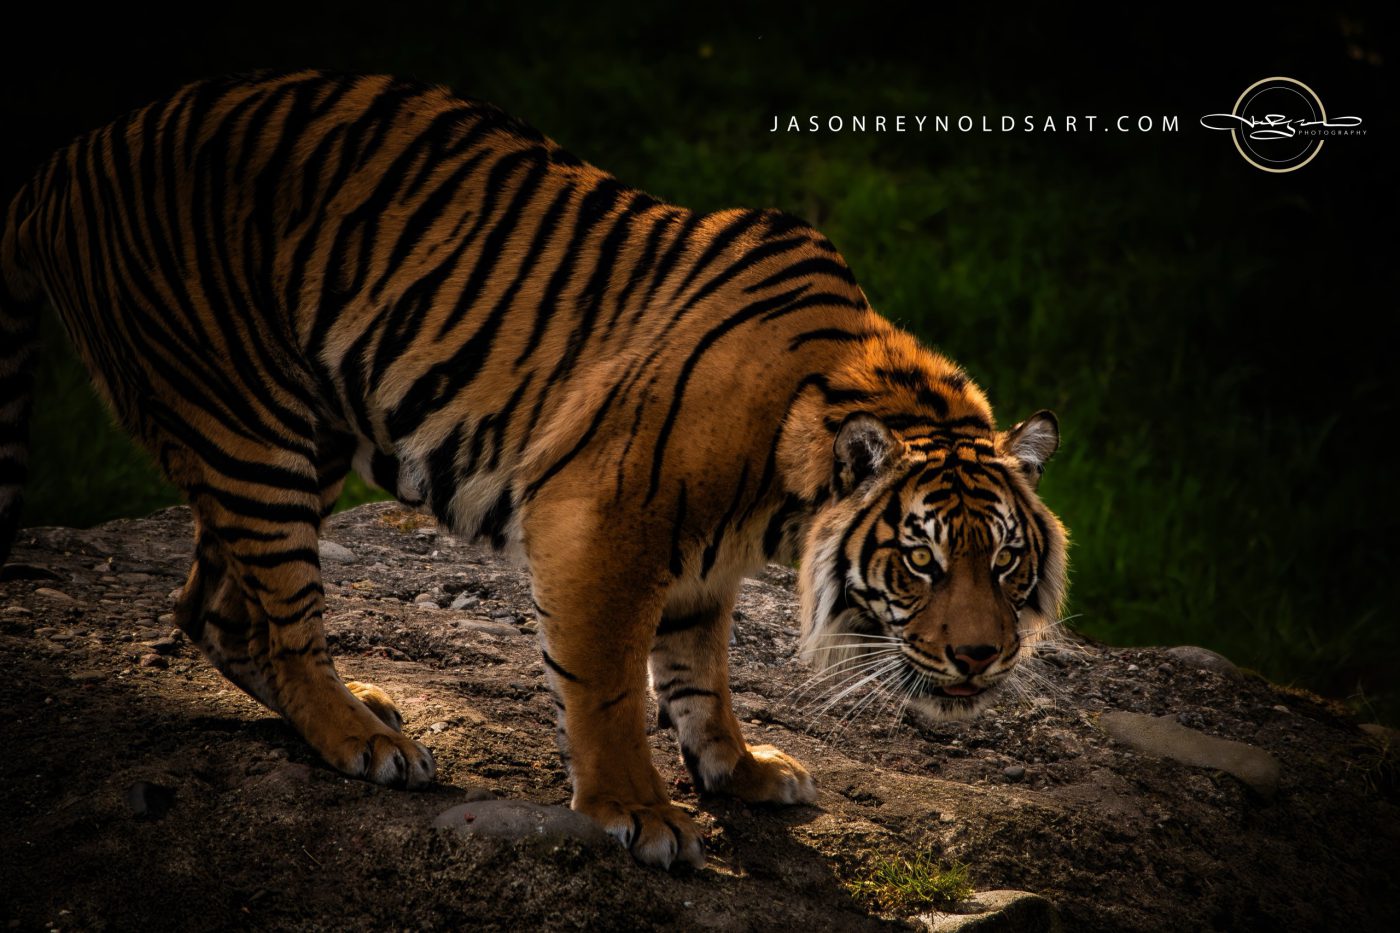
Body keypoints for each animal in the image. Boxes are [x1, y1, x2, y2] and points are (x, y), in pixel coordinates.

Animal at [0, 71, 1068, 870]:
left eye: (1006, 560)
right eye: (922, 559)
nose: (983, 657)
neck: (786, 489)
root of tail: (60, 163)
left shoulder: (701, 564)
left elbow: (702, 674)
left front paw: (743, 769)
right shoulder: (601, 521)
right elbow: (608, 683)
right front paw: (639, 812)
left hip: (299, 429)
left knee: (216, 608)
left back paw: (360, 709)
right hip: (249, 424)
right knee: (282, 615)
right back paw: (366, 740)